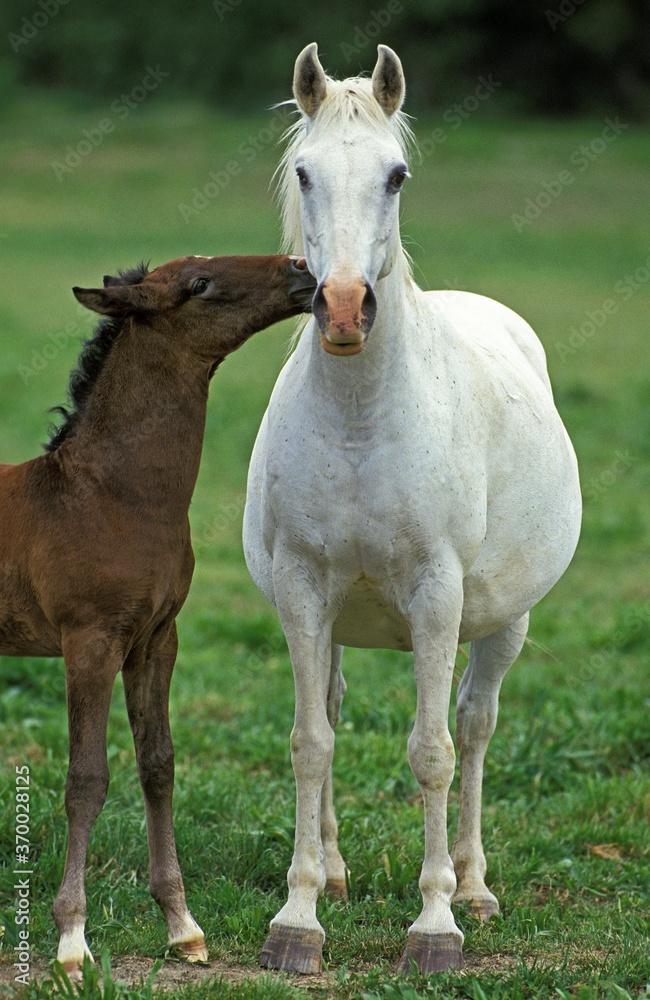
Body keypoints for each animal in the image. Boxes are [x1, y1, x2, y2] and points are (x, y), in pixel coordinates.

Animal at [0, 253, 316, 977]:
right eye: (197, 285)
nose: (302, 269)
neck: (114, 497)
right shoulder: (90, 641)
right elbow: (87, 778)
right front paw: (71, 942)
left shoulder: (155, 640)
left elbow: (158, 764)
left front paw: (182, 926)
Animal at [242, 44, 582, 975]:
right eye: (304, 171)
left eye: (395, 175)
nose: (344, 307)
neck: (363, 419)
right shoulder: (303, 589)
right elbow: (310, 742)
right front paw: (299, 916)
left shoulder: (436, 596)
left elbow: (432, 752)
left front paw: (435, 925)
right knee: (331, 710)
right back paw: (337, 872)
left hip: (502, 623)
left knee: (473, 727)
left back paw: (474, 886)